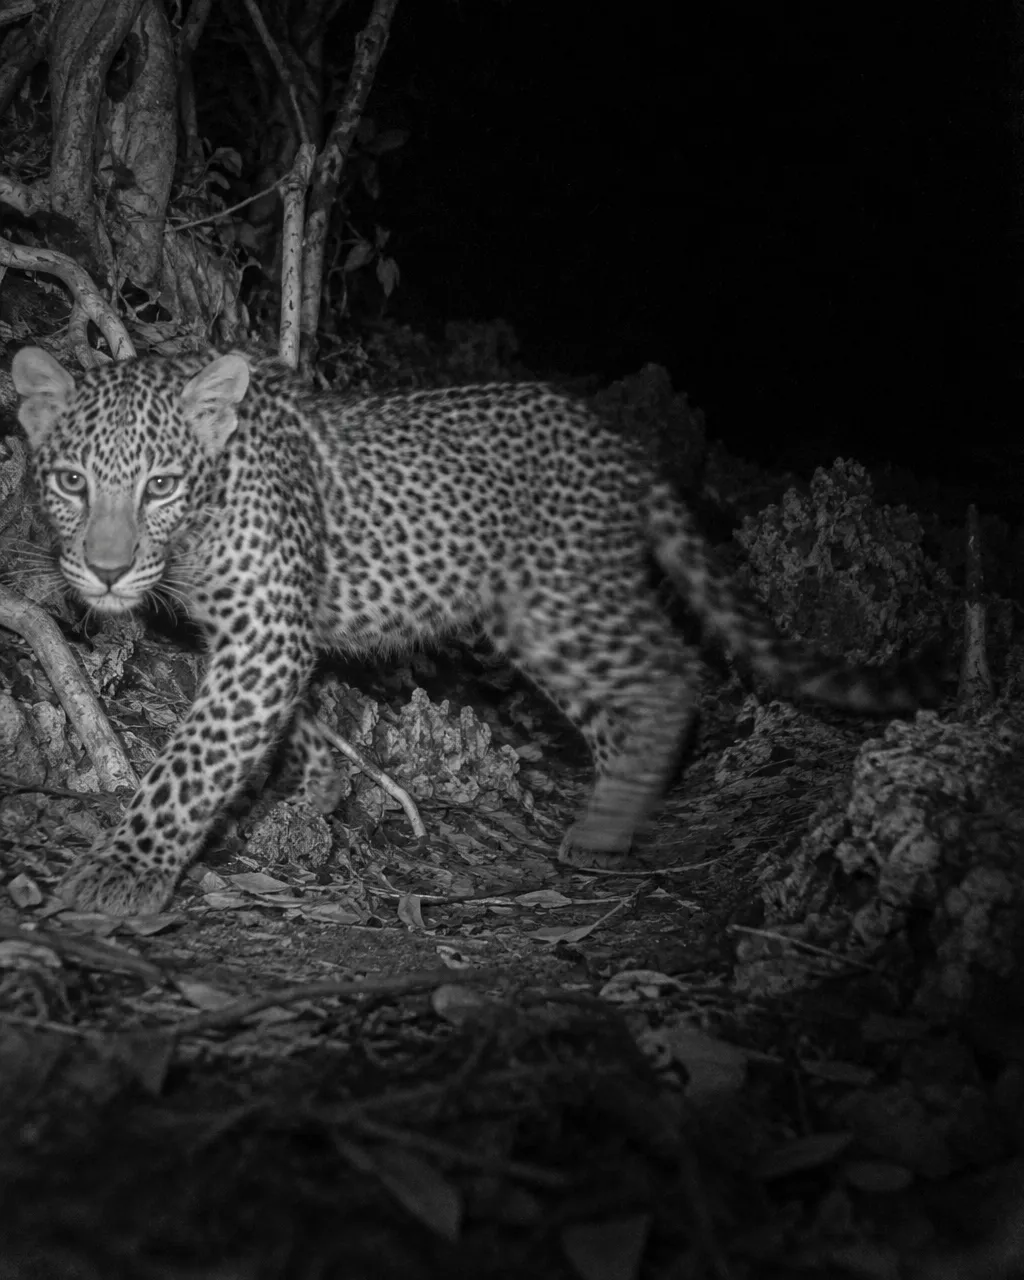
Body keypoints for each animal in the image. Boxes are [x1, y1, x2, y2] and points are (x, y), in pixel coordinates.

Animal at [12, 346, 933, 916]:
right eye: (71, 482)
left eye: (161, 485)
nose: (104, 571)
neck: (199, 522)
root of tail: (621, 447)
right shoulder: (251, 635)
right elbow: (289, 728)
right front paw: (317, 794)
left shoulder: (266, 632)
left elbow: (195, 758)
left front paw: (123, 870)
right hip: (534, 624)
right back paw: (608, 818)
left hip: (568, 597)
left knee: (673, 672)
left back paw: (608, 825)